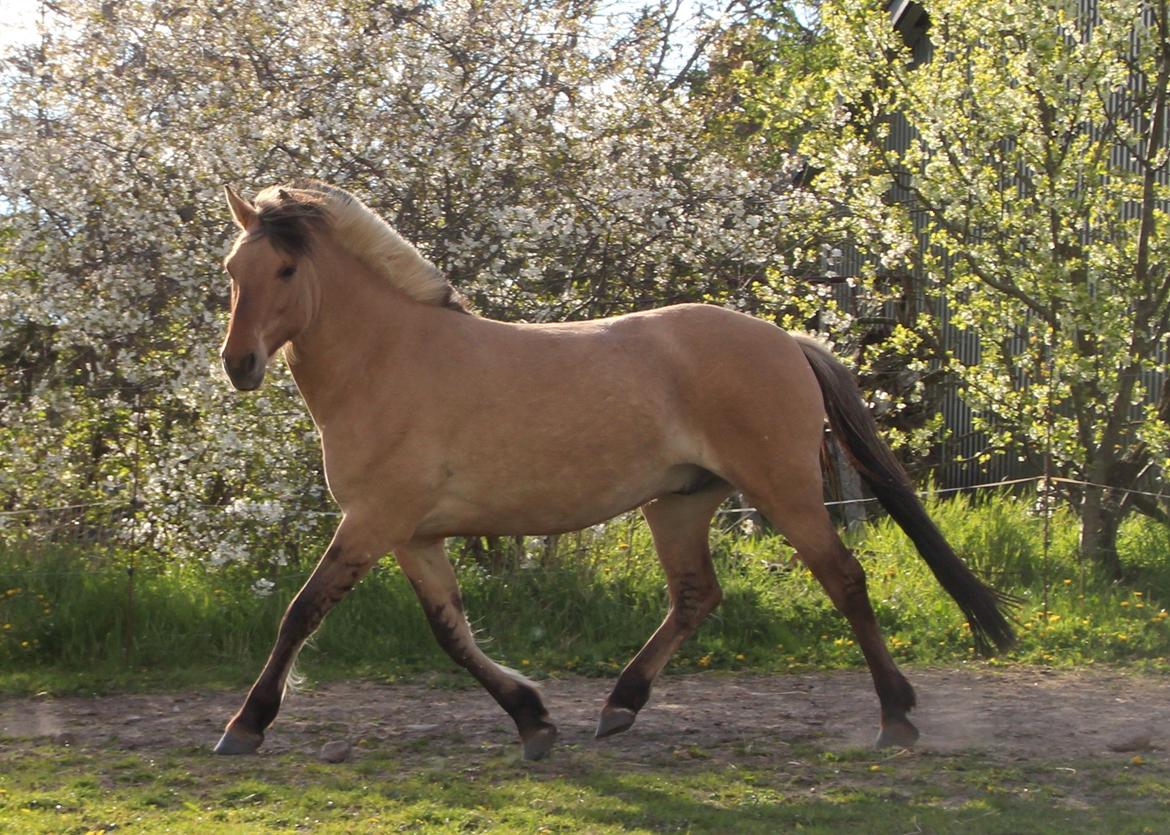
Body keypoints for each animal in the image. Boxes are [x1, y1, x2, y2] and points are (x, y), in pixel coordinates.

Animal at [212, 178, 1015, 757]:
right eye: (232, 270)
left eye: (285, 267)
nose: (238, 365)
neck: (389, 359)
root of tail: (787, 340)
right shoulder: (413, 533)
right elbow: (452, 633)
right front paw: (533, 720)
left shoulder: (375, 520)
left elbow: (302, 611)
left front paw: (245, 725)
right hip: (681, 501)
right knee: (696, 595)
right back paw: (619, 706)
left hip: (782, 491)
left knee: (844, 579)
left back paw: (896, 716)